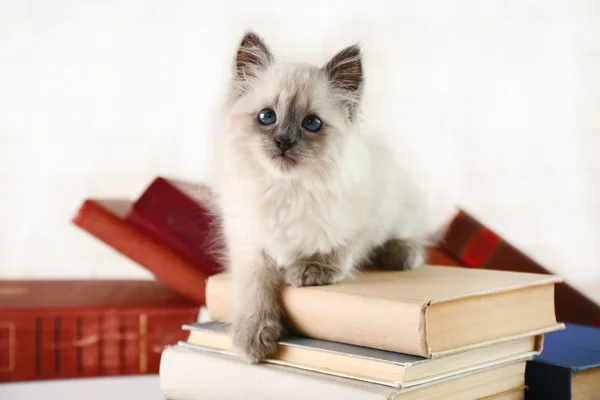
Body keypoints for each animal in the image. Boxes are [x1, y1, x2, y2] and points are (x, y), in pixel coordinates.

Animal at [209, 31, 428, 362]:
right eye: (267, 117)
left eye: (311, 123)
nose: (283, 141)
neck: (287, 189)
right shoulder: (249, 242)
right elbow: (255, 288)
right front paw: (253, 338)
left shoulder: (366, 215)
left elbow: (341, 247)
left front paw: (311, 270)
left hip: (401, 206)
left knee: (410, 240)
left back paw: (400, 256)